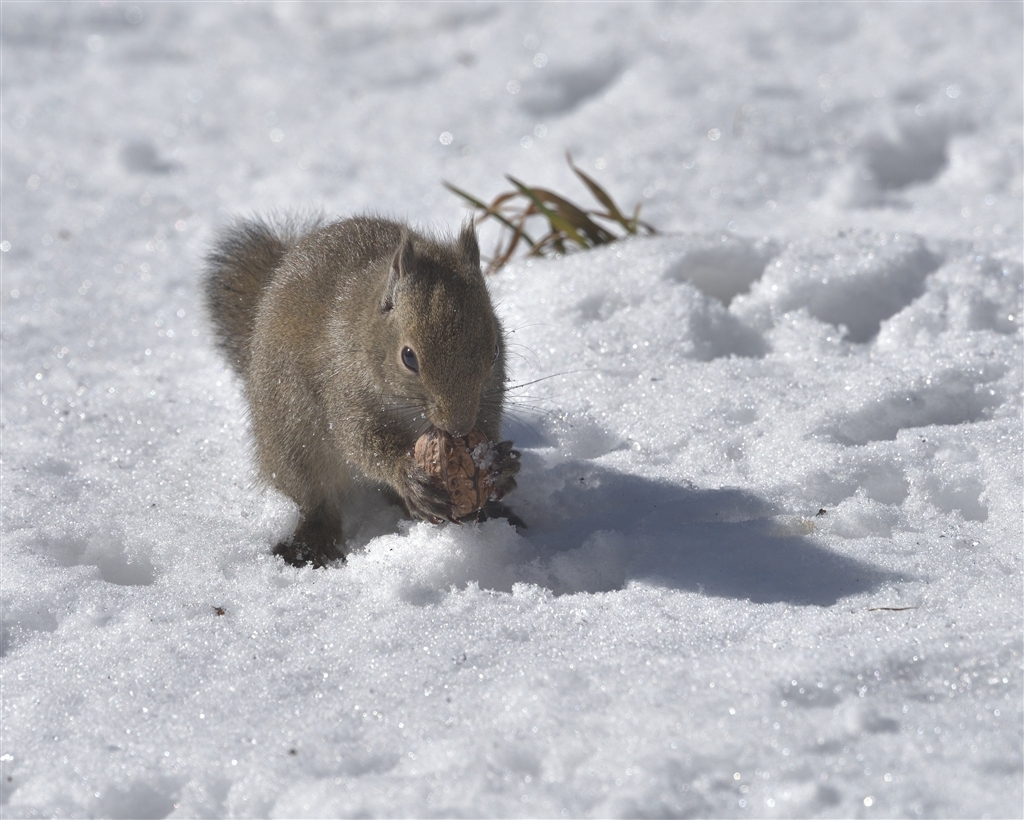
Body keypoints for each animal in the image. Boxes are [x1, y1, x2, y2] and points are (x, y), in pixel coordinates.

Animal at [201, 213, 520, 565]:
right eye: (408, 357)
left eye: (495, 350)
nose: (459, 427)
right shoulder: (345, 395)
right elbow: (362, 444)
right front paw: (406, 472)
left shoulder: (489, 397)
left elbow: (488, 422)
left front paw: (498, 463)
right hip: (293, 439)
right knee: (315, 501)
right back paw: (313, 542)